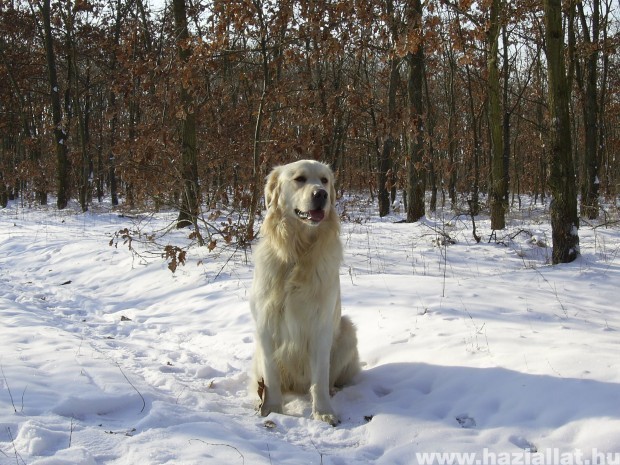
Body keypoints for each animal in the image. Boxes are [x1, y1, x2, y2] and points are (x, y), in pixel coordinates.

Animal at [251, 159, 360, 424]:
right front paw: (272, 409)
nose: (321, 195)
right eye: (299, 179)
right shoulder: (265, 326)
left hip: (347, 330)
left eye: (324, 180)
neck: (298, 254)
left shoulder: (320, 326)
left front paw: (323, 412)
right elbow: (271, 376)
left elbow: (319, 379)